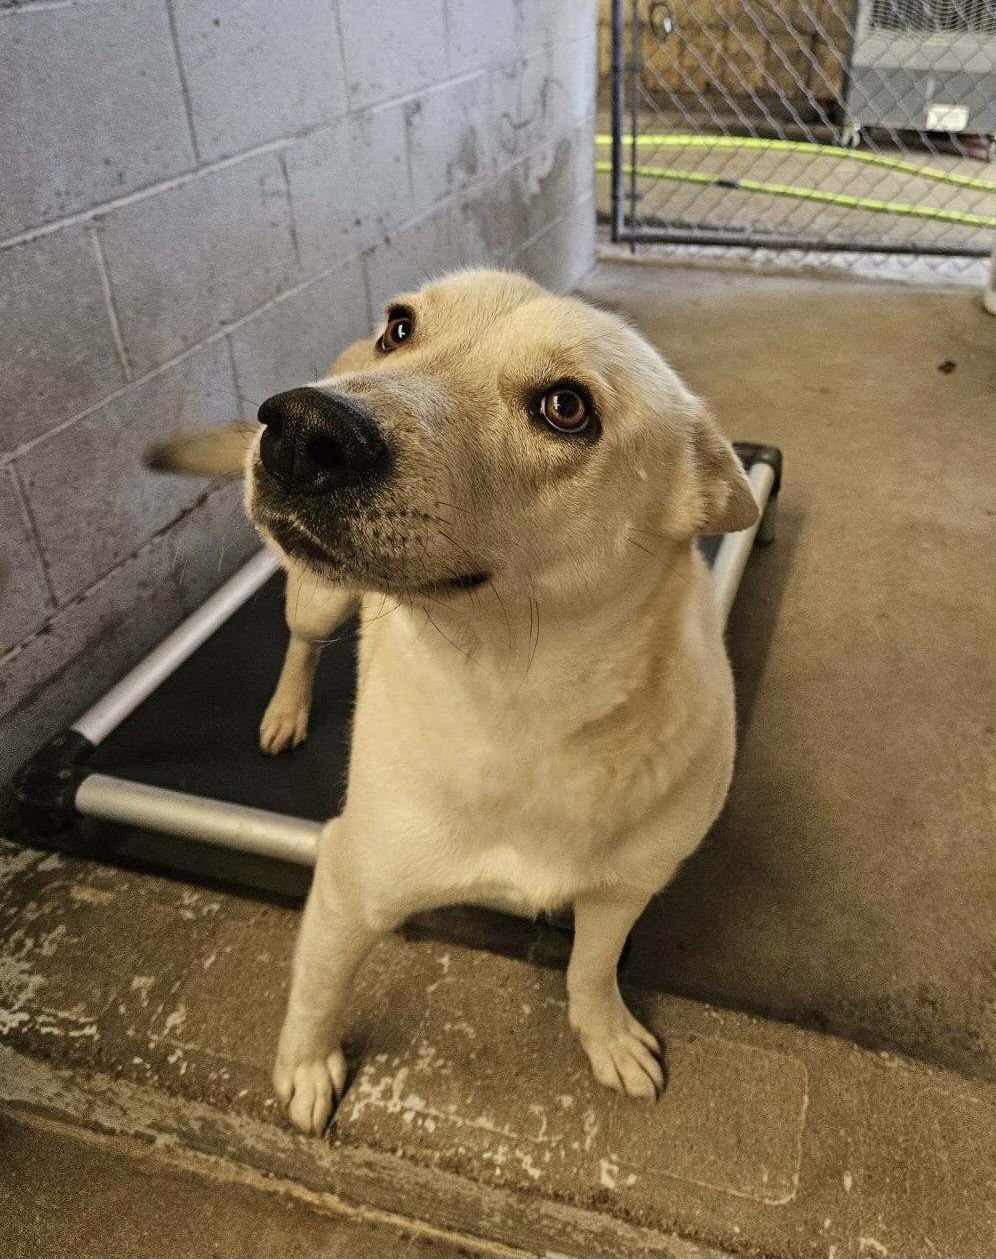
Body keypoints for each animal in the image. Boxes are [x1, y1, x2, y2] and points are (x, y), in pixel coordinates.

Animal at [146, 270, 755, 1138]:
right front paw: (306, 1066)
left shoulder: (624, 890)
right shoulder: (346, 881)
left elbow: (590, 968)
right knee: (300, 640)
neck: (516, 700)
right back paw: (286, 711)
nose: (302, 427)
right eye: (403, 328)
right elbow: (317, 990)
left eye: (566, 406)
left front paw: (604, 1035)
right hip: (318, 595)